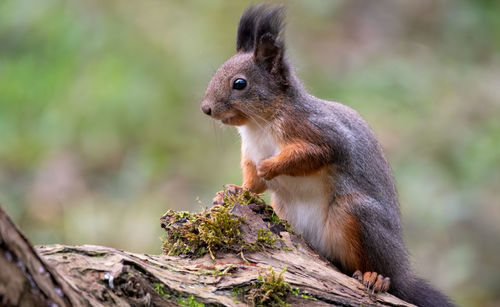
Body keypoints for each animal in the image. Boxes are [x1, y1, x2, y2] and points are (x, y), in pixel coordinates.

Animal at [199, 4, 454, 307]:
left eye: (240, 83)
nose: (205, 108)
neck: (258, 125)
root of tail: (402, 270)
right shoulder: (249, 152)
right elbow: (253, 182)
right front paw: (236, 191)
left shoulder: (321, 133)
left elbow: (310, 155)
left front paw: (271, 166)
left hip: (356, 213)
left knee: (379, 269)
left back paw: (376, 277)